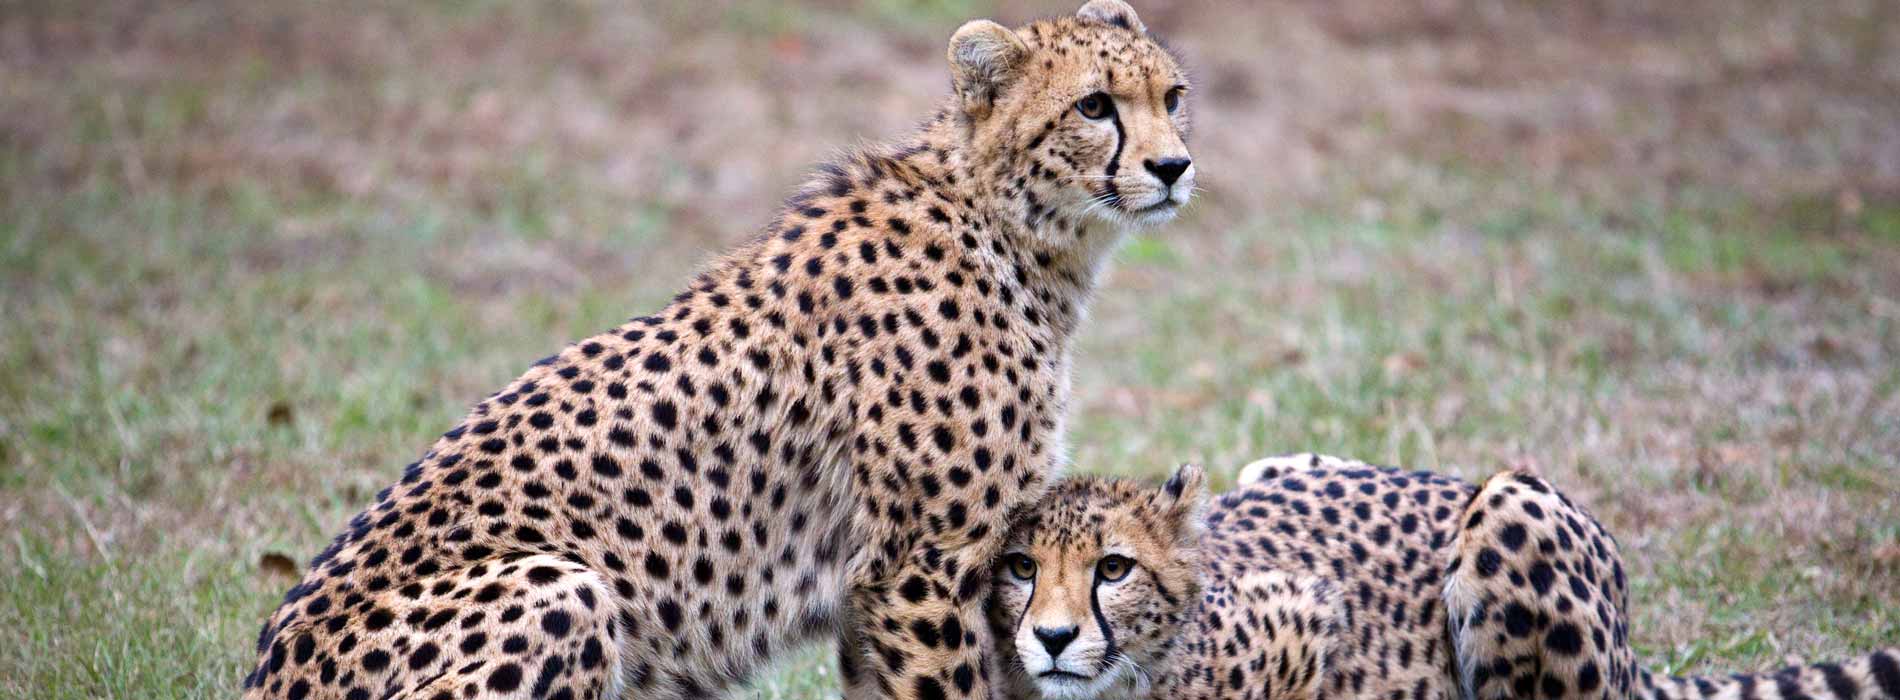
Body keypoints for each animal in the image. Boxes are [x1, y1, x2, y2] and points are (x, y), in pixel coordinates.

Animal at [237, 2, 1196, 699]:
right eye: (1095, 106)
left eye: (1174, 97)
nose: (1175, 167)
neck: (1014, 231)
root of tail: (264, 673)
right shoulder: (922, 565)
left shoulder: (874, 595)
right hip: (566, 587)